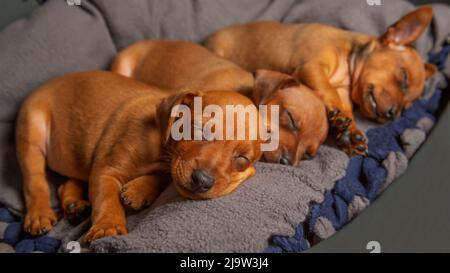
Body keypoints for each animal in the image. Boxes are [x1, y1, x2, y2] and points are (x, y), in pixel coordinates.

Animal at [15, 71, 262, 241]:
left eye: (242, 159)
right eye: (199, 129)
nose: (202, 181)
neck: (161, 147)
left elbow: (166, 175)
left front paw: (139, 189)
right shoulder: (106, 172)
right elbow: (107, 199)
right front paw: (109, 227)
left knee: (65, 183)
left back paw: (74, 204)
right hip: (31, 136)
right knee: (35, 183)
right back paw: (40, 213)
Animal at [206, 6, 438, 155]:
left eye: (407, 107)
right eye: (403, 78)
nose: (392, 114)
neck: (347, 64)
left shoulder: (344, 92)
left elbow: (348, 111)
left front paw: (351, 134)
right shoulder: (312, 68)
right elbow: (327, 90)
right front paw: (339, 117)